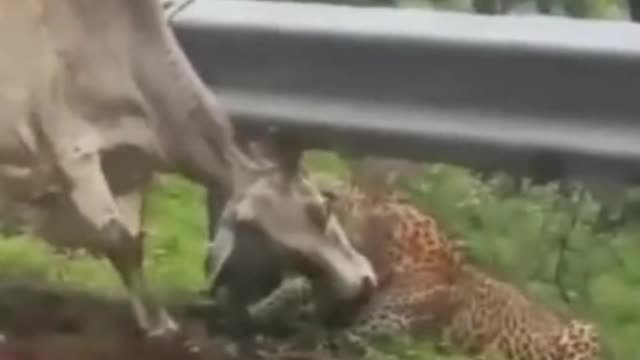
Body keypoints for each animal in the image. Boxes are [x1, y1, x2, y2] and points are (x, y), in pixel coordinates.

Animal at [0, 0, 376, 338]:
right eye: (319, 209)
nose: (365, 284)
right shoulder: (75, 151)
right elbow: (118, 240)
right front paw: (158, 323)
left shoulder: (129, 172)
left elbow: (131, 245)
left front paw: (152, 321)